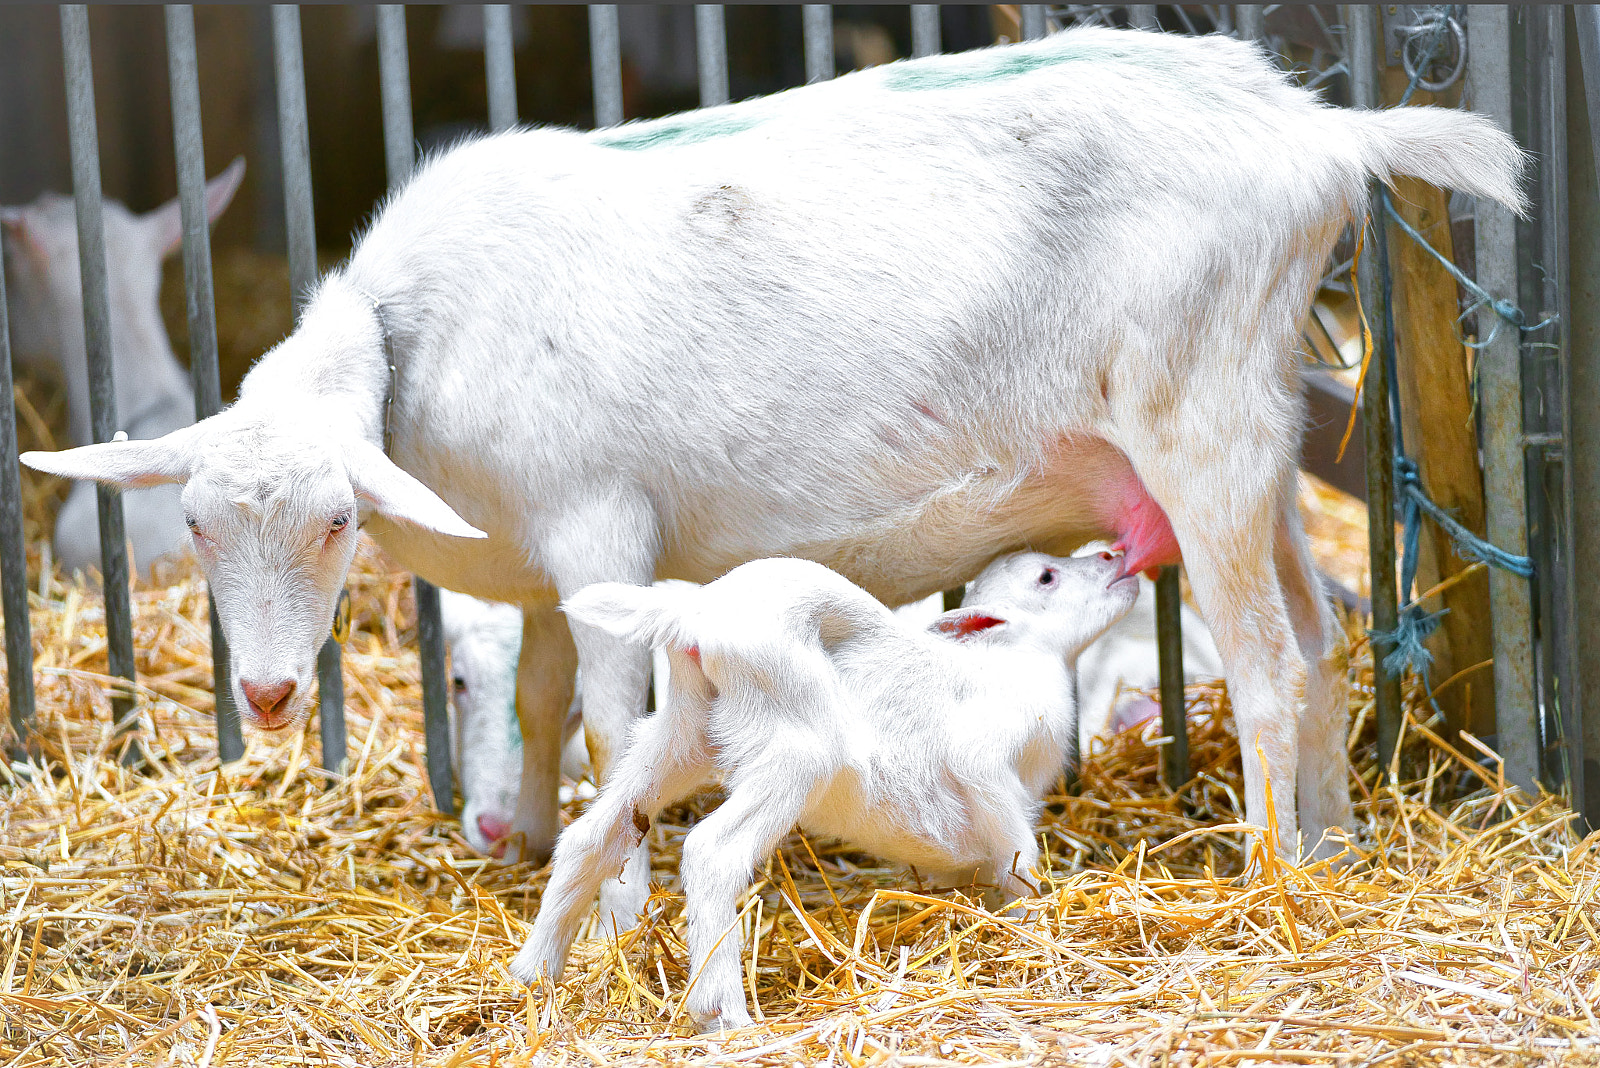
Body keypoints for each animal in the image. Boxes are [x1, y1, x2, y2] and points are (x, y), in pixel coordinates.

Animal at [514, 550, 1137, 1030]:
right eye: (1046, 577)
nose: (1115, 557)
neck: (1016, 661)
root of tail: (690, 613)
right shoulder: (984, 758)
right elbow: (1018, 852)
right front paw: (1035, 923)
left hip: (680, 735)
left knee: (594, 835)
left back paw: (534, 973)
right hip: (798, 744)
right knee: (713, 852)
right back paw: (723, 1012)